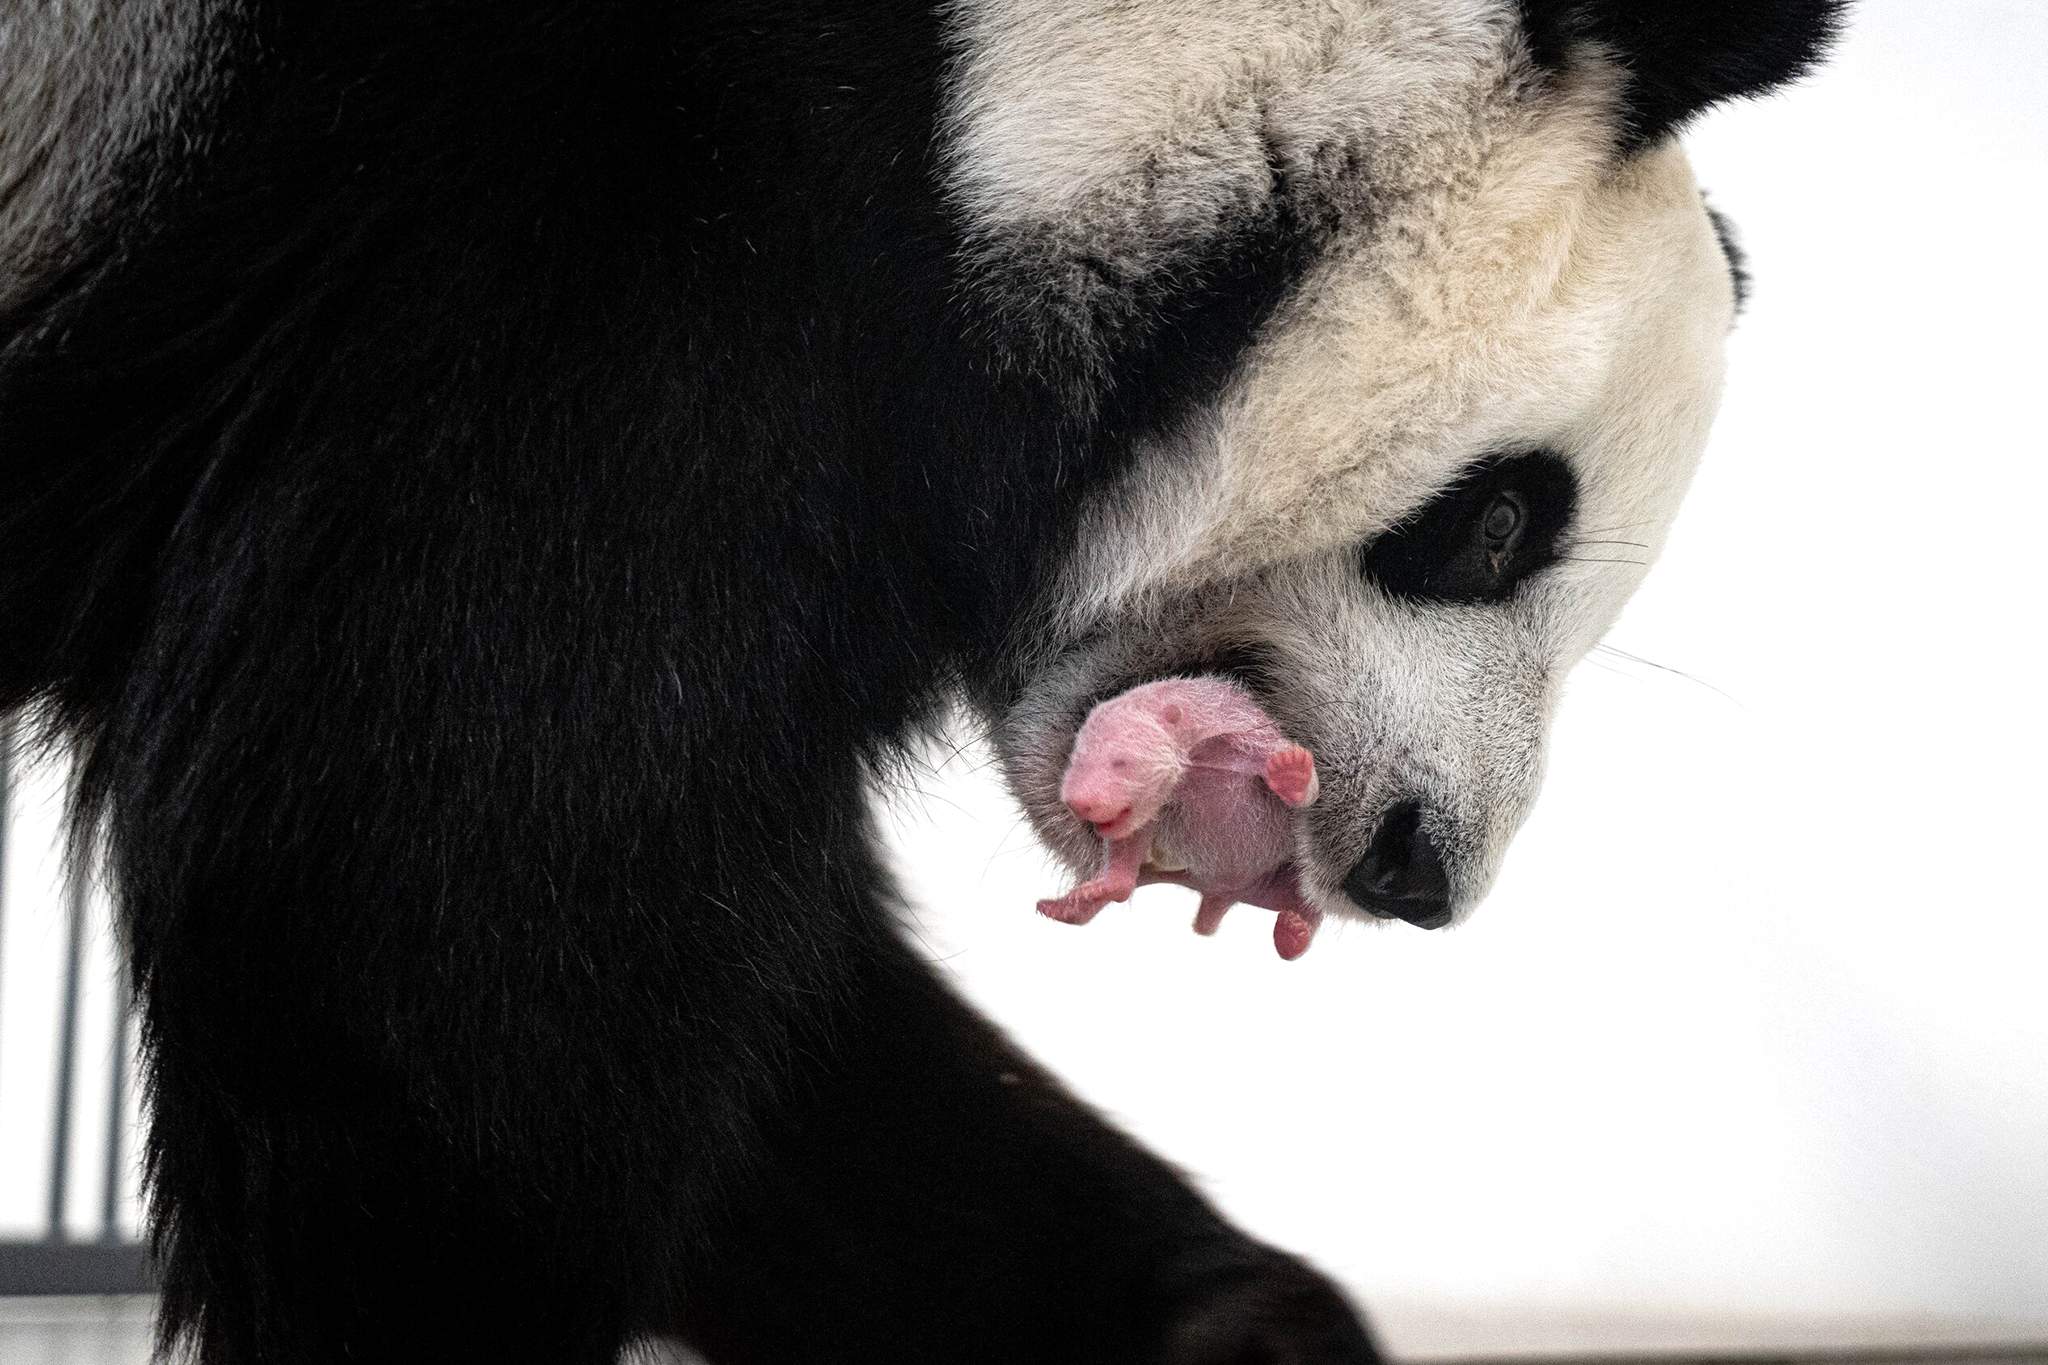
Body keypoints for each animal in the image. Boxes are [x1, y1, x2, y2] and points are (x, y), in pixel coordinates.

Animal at [0, 2, 1851, 1365]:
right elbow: (431, 952)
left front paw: (1220, 1320)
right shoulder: (588, 255)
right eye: (1495, 522)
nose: (1420, 863)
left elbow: (772, 1039)